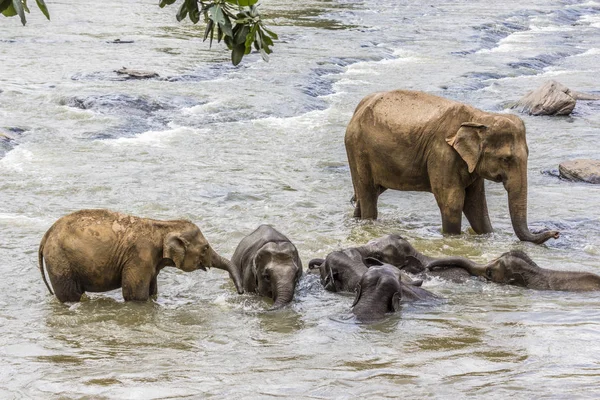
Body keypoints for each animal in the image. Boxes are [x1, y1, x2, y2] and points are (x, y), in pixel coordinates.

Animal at [37, 209, 243, 304]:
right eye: (205, 248)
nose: (240, 292)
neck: (163, 226)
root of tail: (46, 234)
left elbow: (152, 291)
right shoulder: (139, 257)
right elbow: (135, 296)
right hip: (60, 261)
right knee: (71, 295)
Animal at [344, 89, 560, 244]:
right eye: (506, 159)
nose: (556, 233)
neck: (479, 117)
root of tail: (358, 108)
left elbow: (476, 204)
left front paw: (486, 235)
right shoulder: (442, 154)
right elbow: (452, 201)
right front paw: (453, 238)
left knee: (370, 192)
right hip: (358, 150)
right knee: (368, 192)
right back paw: (368, 222)